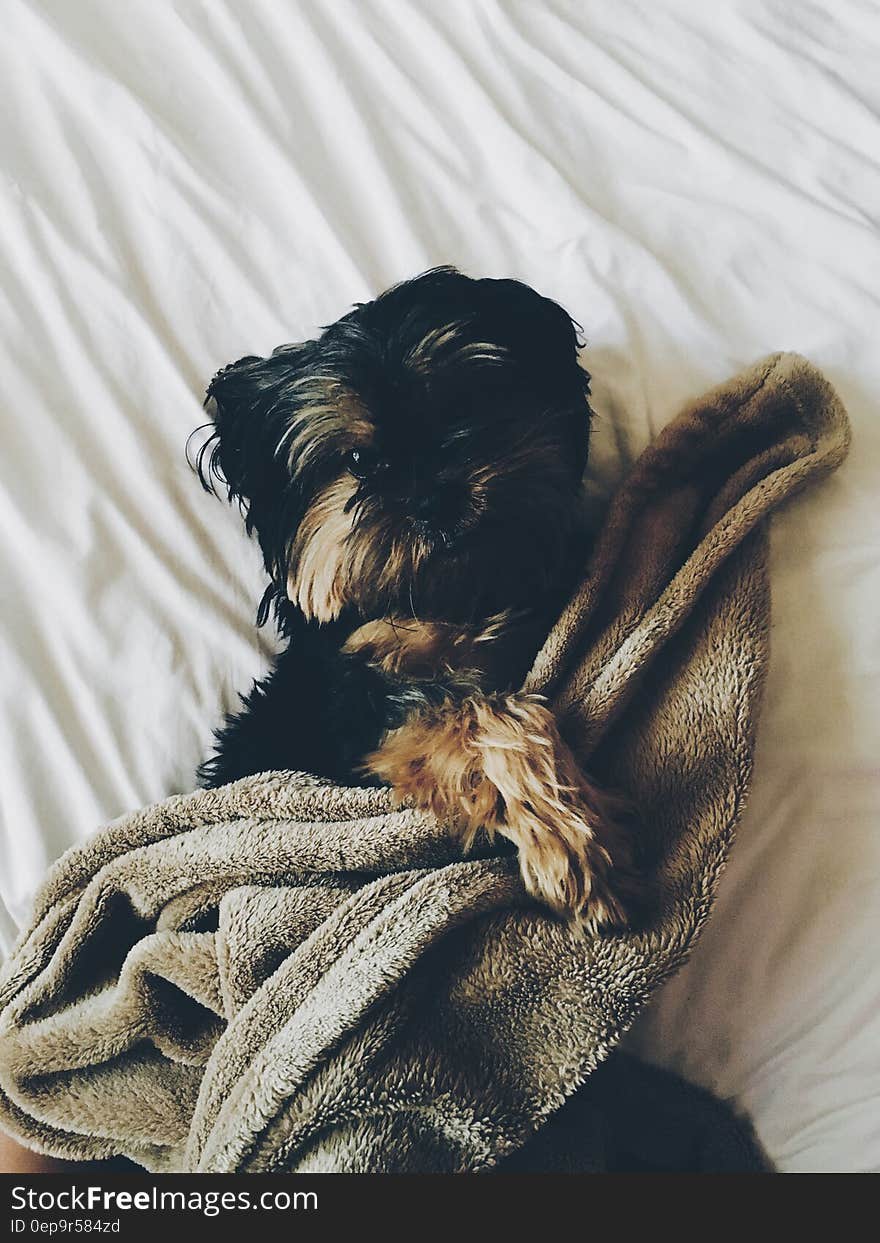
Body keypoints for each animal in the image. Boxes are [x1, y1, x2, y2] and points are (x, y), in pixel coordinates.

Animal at [193, 267, 631, 929]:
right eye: (357, 460)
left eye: (463, 405)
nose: (433, 498)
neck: (453, 599)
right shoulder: (360, 718)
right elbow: (484, 713)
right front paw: (570, 843)